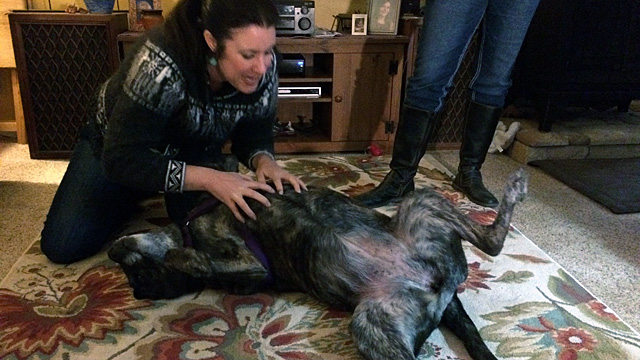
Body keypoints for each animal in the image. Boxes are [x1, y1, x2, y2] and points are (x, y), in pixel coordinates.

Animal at [110, 169, 528, 360]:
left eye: (137, 274)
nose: (137, 291)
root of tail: (439, 287)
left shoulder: (246, 256)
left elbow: (190, 256)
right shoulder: (248, 265)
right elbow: (200, 261)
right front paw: (180, 256)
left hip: (421, 203)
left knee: (491, 241)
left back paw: (512, 192)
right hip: (373, 323)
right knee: (492, 244)